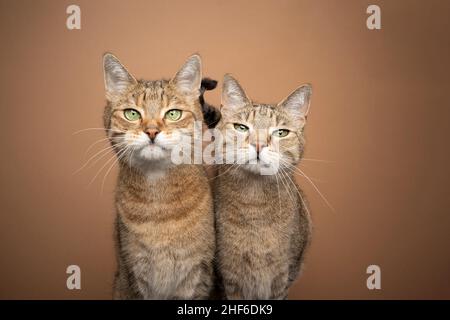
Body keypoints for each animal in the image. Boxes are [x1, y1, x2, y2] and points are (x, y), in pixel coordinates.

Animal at [214, 74, 312, 298]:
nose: (258, 145)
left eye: (281, 133)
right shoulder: (227, 277)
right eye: (241, 127)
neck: (255, 203)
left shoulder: (284, 275)